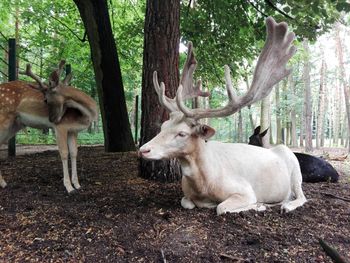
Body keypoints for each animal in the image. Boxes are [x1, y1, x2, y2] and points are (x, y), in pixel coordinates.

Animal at [0, 61, 97, 194]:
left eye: (46, 99)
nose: (52, 119)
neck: (87, 115)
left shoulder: (73, 130)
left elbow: (74, 153)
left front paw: (77, 184)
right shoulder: (61, 127)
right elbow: (64, 153)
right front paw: (69, 187)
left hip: (14, 125)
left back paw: (4, 183)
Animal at [139, 16, 306, 216]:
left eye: (182, 133)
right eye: (163, 126)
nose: (143, 150)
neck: (204, 185)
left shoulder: (245, 190)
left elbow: (222, 207)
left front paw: (259, 205)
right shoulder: (186, 194)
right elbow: (186, 202)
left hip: (296, 169)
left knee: (302, 195)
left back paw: (286, 205)